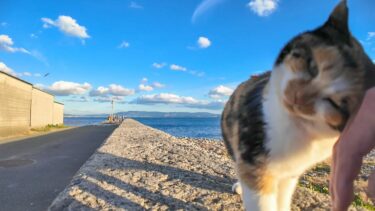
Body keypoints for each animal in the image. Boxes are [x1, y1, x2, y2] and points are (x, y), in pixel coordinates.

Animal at [222, 0, 374, 210]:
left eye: (336, 104)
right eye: (312, 66)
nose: (297, 97)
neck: (295, 126)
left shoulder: (290, 174)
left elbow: (283, 197)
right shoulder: (254, 158)